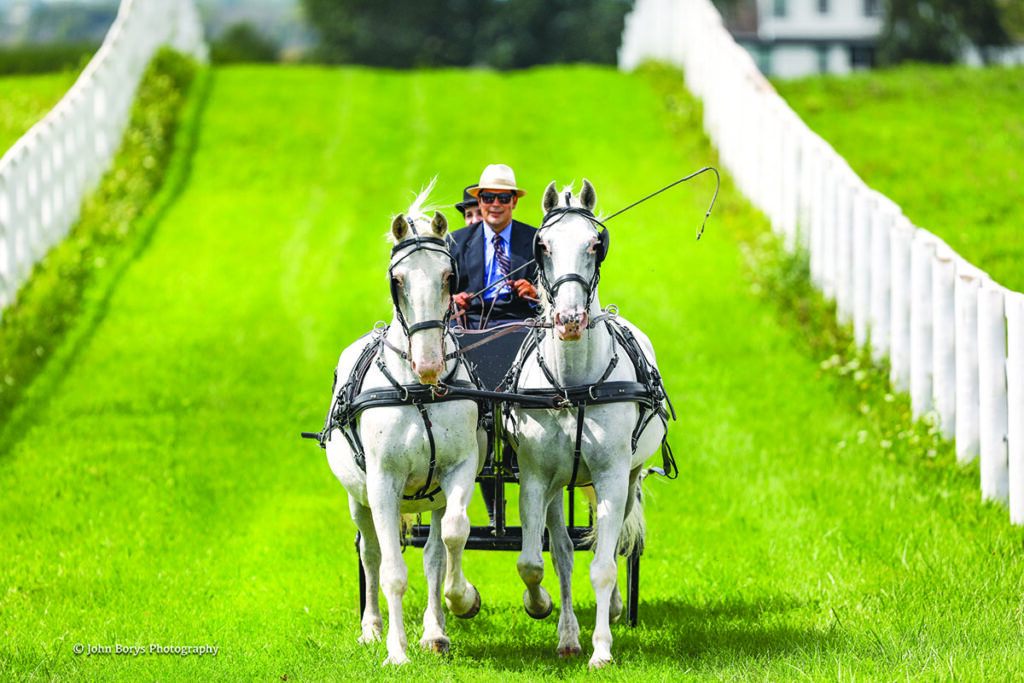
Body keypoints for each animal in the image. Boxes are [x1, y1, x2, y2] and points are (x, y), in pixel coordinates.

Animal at [327, 189, 487, 663]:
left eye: (449, 276)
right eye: (397, 281)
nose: (429, 364)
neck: (418, 390)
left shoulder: (459, 469)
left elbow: (454, 535)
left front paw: (462, 599)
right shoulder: (383, 481)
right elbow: (392, 571)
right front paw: (396, 652)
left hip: (431, 496)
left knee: (434, 553)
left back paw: (434, 631)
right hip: (359, 497)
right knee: (371, 553)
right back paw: (373, 628)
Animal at [505, 180, 671, 667]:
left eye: (595, 245)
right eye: (542, 246)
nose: (570, 320)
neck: (573, 385)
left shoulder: (612, 475)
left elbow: (603, 564)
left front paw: (602, 649)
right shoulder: (535, 477)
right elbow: (535, 561)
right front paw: (542, 608)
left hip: (629, 477)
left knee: (614, 543)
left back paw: (612, 609)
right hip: (559, 485)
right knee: (561, 551)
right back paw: (566, 634)